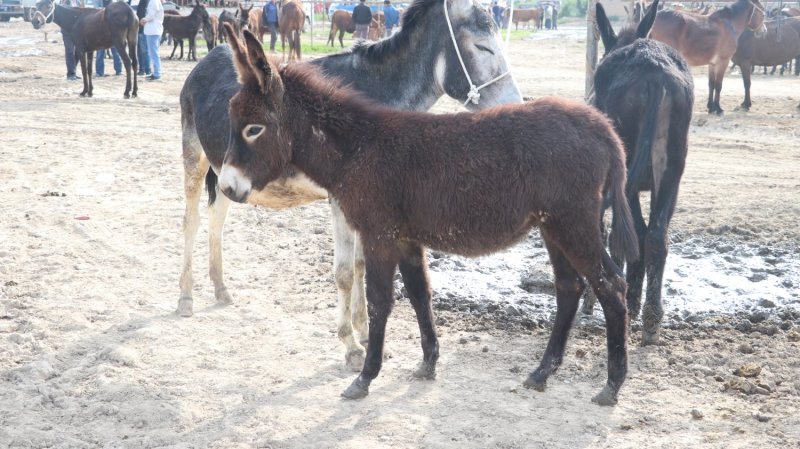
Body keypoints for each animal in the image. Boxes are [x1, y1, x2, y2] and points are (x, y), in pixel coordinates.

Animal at [178, 0, 522, 371]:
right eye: (483, 47)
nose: (516, 106)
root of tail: (210, 56)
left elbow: (360, 266)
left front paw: (366, 331)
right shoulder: (340, 198)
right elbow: (344, 271)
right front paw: (352, 345)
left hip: (226, 170)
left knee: (216, 220)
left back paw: (220, 288)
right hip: (195, 158)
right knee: (191, 222)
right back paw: (186, 297)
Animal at [220, 26, 638, 405]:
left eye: (254, 129)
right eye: (233, 125)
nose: (226, 187)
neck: (357, 148)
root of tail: (604, 128)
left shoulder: (379, 235)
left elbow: (380, 300)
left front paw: (366, 376)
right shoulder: (406, 238)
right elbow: (420, 294)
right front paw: (428, 363)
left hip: (573, 223)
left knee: (611, 285)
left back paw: (612, 385)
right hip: (553, 226)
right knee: (569, 287)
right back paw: (541, 373)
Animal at [587, 0, 693, 346]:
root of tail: (654, 71)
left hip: (629, 171)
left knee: (638, 231)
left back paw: (635, 308)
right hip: (672, 167)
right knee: (657, 235)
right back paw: (651, 319)